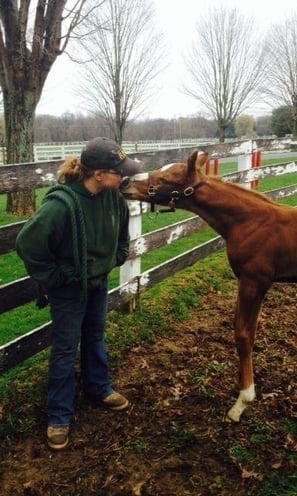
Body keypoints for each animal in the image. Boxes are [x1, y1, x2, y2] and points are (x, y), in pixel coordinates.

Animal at [119, 149, 296, 420]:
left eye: (166, 178)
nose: (125, 182)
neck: (250, 221)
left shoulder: (254, 281)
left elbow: (244, 335)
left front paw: (242, 401)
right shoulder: (249, 282)